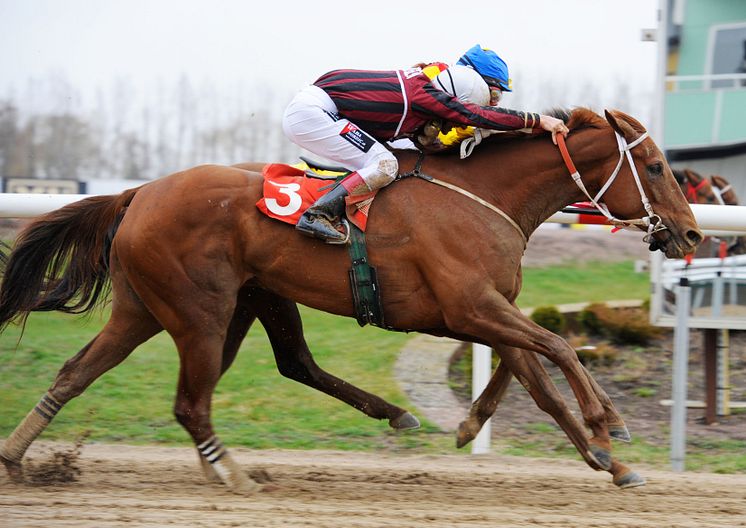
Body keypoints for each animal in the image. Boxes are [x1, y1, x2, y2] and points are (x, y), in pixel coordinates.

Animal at [0, 109, 700, 492]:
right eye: (657, 167)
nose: (691, 233)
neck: (482, 196)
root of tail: (139, 193)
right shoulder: (471, 306)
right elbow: (556, 347)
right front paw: (608, 426)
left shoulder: (486, 310)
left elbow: (534, 375)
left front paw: (602, 457)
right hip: (199, 310)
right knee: (191, 403)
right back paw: (235, 476)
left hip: (182, 304)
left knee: (82, 372)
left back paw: (17, 456)